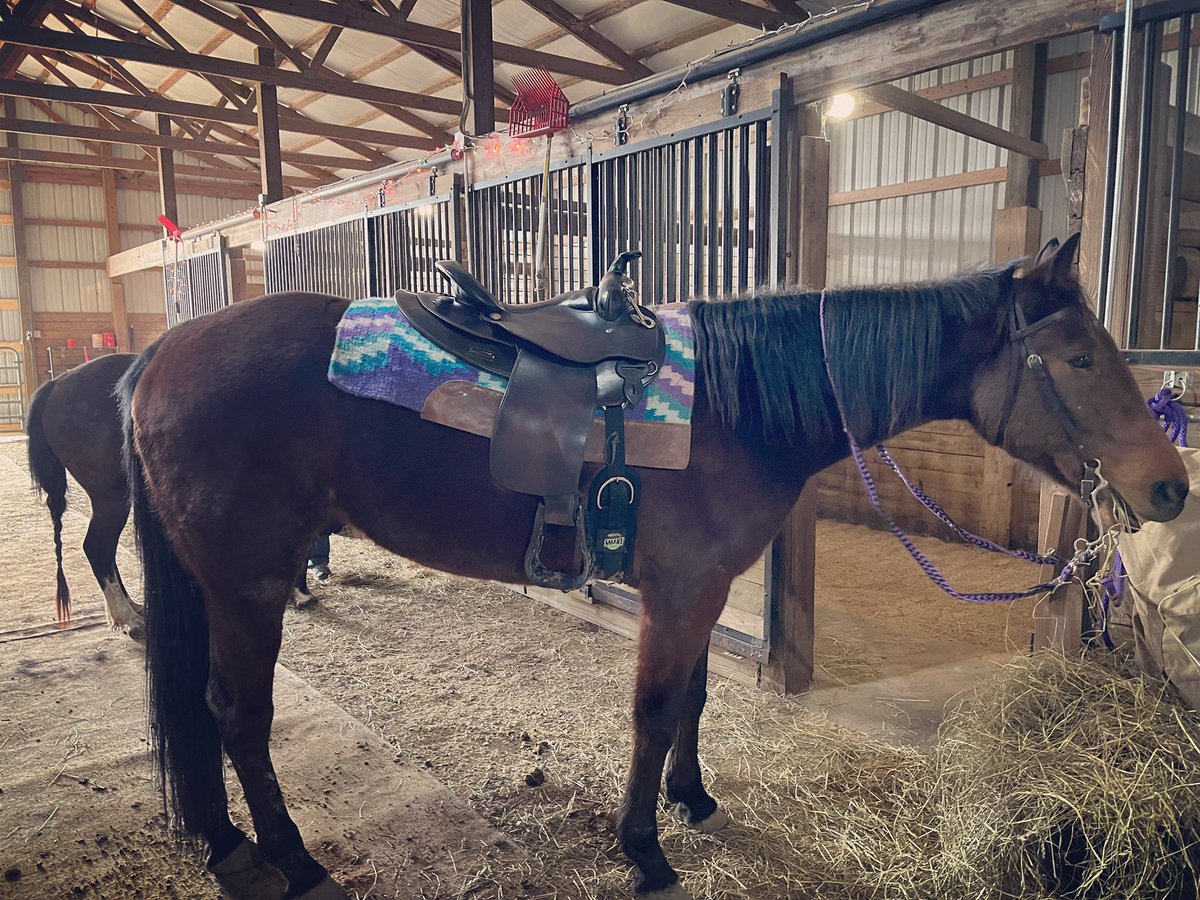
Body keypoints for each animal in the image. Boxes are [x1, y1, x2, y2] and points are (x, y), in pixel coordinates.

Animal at [120, 233, 1188, 900]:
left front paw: (692, 798)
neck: (737, 406)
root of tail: (162, 350)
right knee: (237, 716)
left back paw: (225, 844)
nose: (1171, 486)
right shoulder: (676, 597)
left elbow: (694, 702)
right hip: (249, 585)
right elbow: (653, 708)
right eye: (1081, 359)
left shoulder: (702, 593)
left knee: (209, 716)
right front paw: (644, 848)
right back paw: (290, 859)